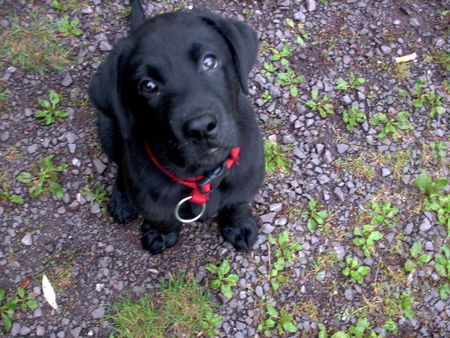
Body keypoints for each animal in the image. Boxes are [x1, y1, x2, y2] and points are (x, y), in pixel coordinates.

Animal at [88, 0, 264, 254]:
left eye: (209, 61)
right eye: (148, 86)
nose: (201, 127)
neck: (201, 178)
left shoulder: (246, 182)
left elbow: (237, 204)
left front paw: (239, 227)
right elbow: (161, 217)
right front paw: (160, 233)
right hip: (108, 130)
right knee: (121, 164)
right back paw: (121, 200)